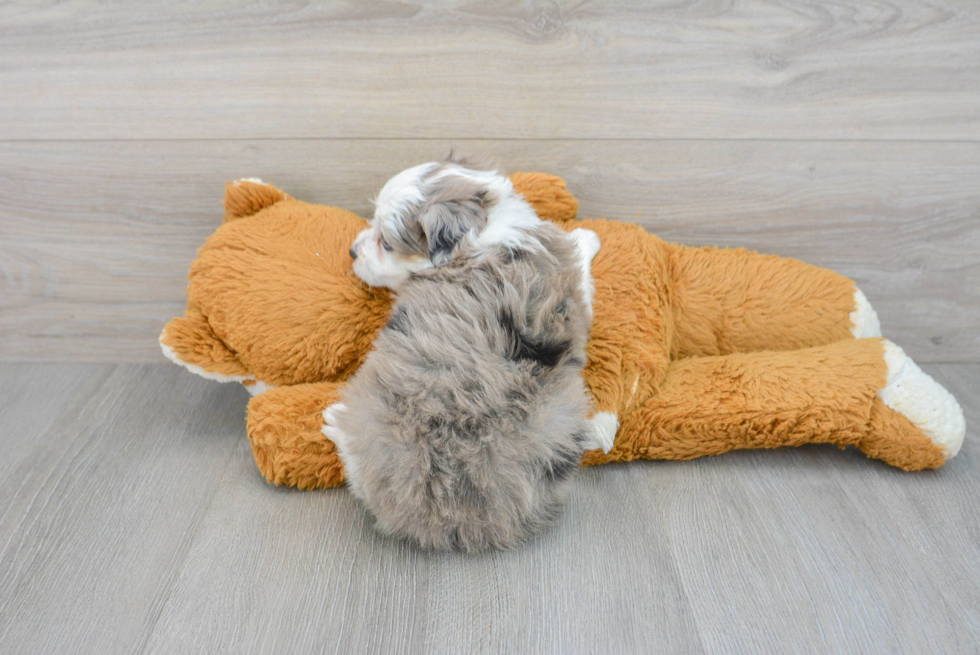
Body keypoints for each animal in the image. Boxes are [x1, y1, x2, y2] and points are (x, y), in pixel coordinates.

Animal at [326, 160, 604, 552]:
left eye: (387, 243)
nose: (352, 251)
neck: (482, 229)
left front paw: (587, 236)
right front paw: (588, 236)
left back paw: (334, 420)